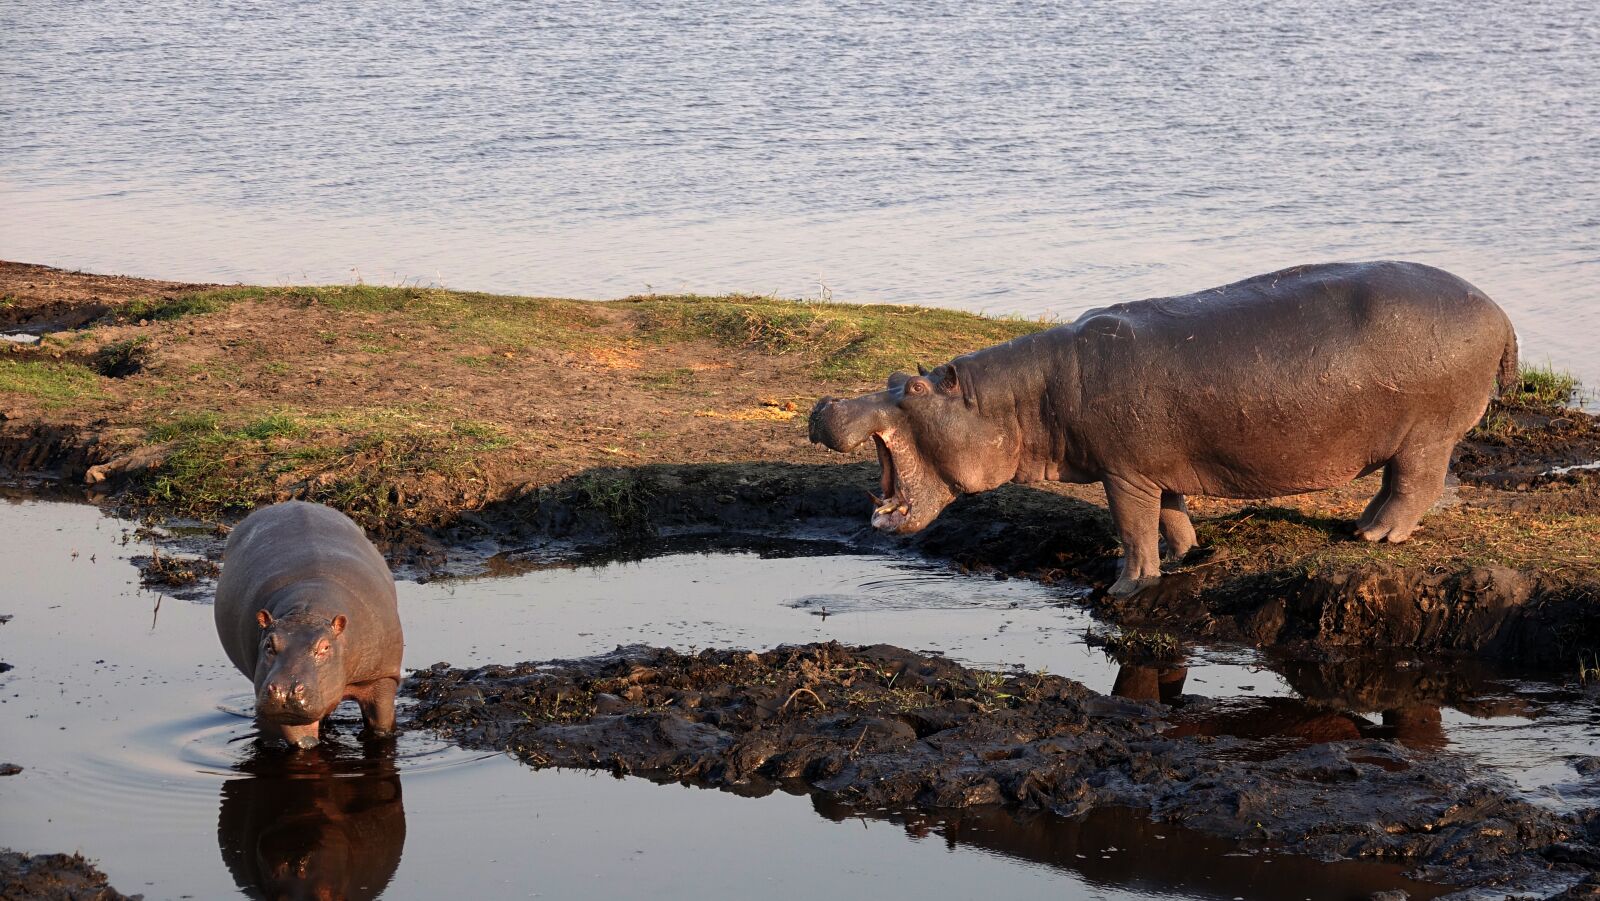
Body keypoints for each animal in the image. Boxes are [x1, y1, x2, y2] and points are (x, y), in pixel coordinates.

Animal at [215, 501, 404, 748]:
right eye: (269, 645)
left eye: (324, 647)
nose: (285, 692)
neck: (308, 612)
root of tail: (295, 502)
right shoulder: (288, 712)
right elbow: (303, 741)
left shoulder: (381, 677)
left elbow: (381, 723)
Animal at [810, 261, 1518, 596]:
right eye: (895, 375)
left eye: (915, 389)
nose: (825, 405)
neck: (1012, 402)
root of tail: (1499, 309)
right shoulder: (1158, 465)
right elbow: (1171, 515)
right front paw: (1185, 555)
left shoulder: (1123, 472)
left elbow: (1131, 527)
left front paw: (1125, 587)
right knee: (1404, 485)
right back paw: (1364, 526)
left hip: (1426, 434)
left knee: (1414, 486)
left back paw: (1373, 536)